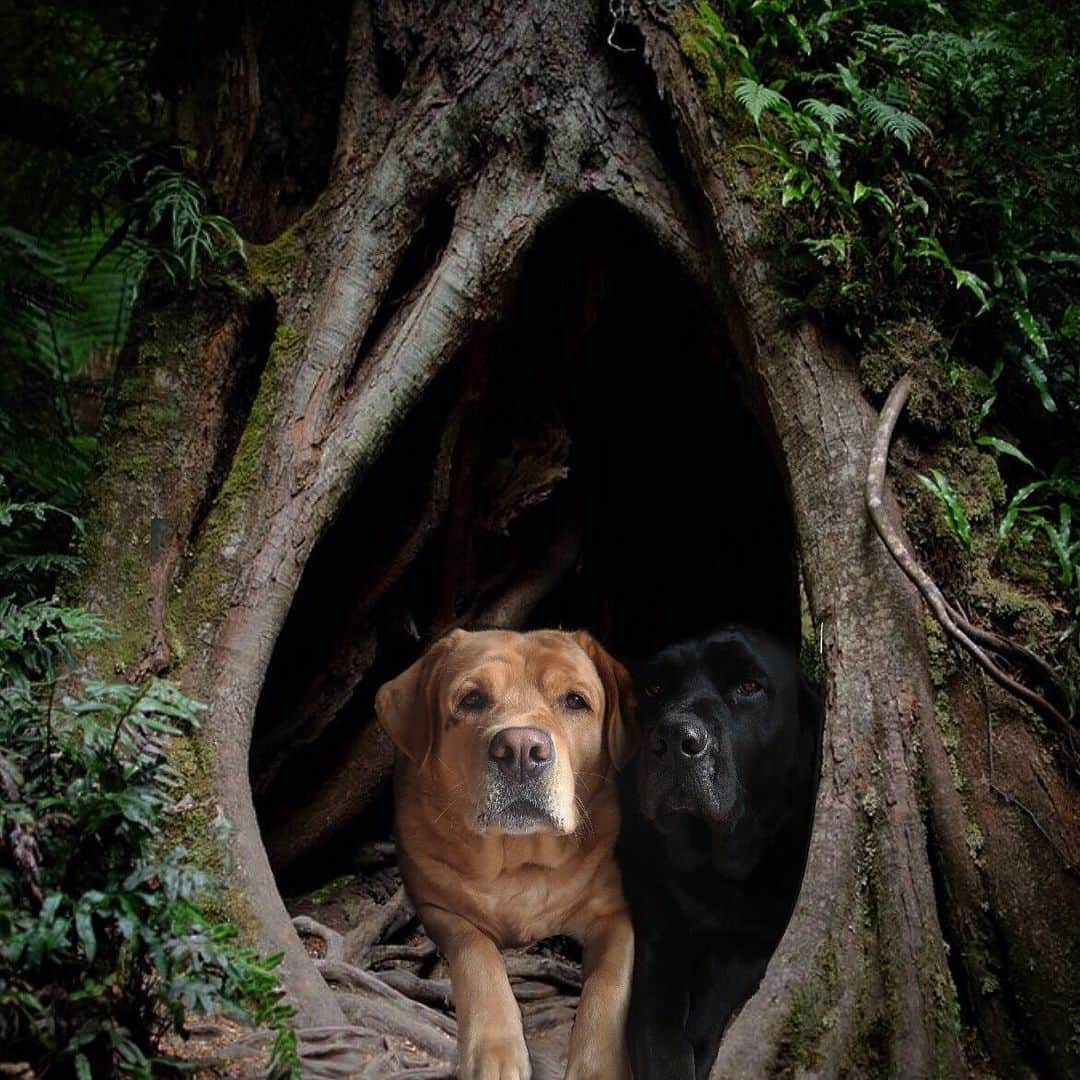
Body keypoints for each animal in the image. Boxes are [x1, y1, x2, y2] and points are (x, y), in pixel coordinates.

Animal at [375, 630, 635, 1075]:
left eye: (575, 701)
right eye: (472, 699)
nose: (521, 749)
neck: (517, 861)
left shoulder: (615, 915)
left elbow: (608, 985)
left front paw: (597, 1068)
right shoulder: (439, 909)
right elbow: (478, 955)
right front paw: (496, 1050)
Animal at [617, 630, 816, 1075]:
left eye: (748, 686)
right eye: (655, 688)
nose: (676, 739)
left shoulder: (755, 942)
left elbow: (717, 987)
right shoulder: (658, 935)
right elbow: (658, 1028)